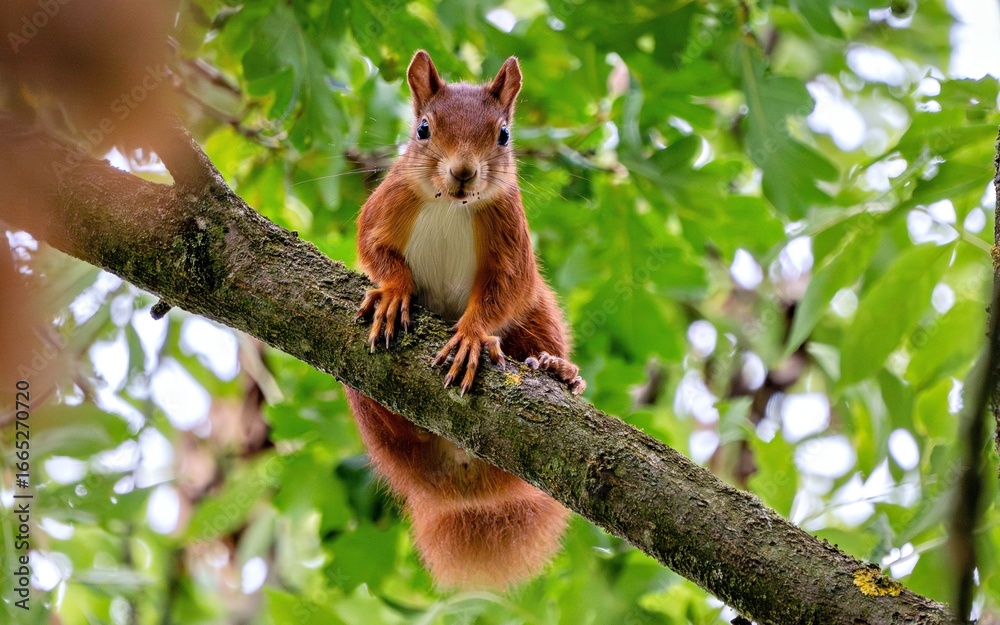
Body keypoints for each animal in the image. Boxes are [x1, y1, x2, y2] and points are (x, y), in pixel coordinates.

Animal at [345, 50, 586, 590]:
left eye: (504, 135)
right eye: (423, 129)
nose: (462, 172)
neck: (450, 206)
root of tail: (460, 481)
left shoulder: (510, 236)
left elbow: (505, 292)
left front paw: (472, 336)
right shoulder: (387, 203)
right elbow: (374, 249)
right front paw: (394, 292)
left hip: (540, 314)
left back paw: (557, 370)